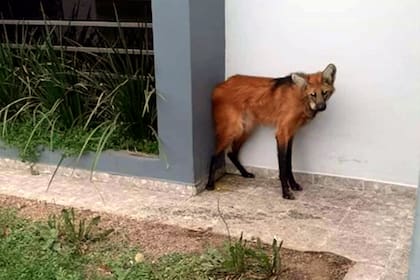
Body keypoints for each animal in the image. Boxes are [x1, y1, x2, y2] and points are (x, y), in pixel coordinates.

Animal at [207, 63, 338, 199]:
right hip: (233, 129)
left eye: (324, 93)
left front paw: (294, 185)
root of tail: (219, 85)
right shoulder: (282, 133)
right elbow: (283, 165)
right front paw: (286, 192)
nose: (321, 107)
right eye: (313, 94)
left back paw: (245, 173)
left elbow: (289, 163)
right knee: (214, 155)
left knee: (231, 153)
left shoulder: (291, 133)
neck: (301, 99)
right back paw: (210, 184)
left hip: (246, 129)